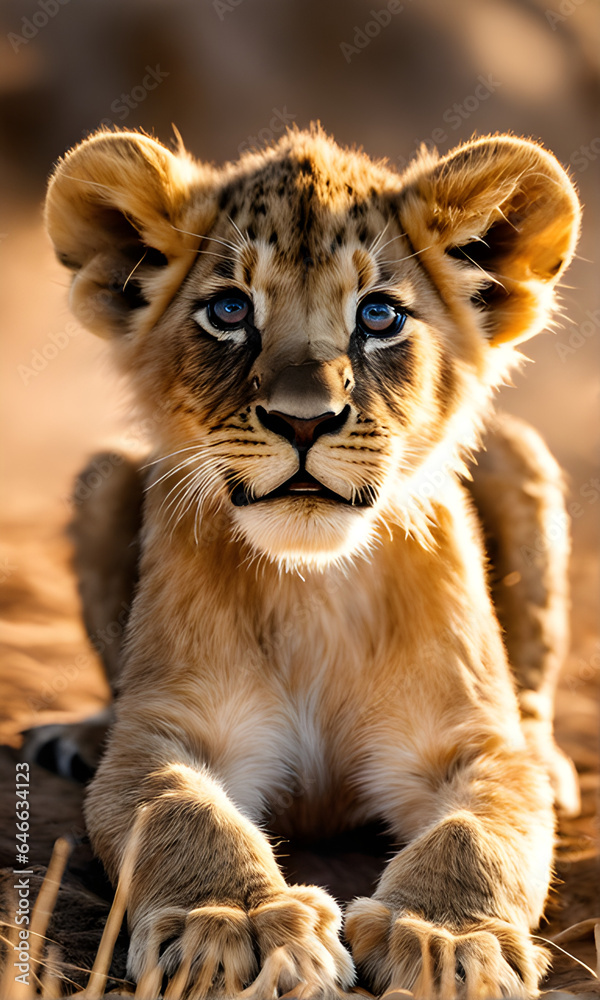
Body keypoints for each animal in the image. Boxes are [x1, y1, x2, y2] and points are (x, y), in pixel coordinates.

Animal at [36, 126, 581, 998]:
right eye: (230, 310)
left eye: (379, 315)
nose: (303, 421)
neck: (314, 587)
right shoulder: (169, 732)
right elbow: (182, 811)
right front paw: (235, 924)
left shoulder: (471, 743)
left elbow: (477, 830)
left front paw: (447, 939)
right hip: (106, 475)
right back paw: (83, 734)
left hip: (518, 453)